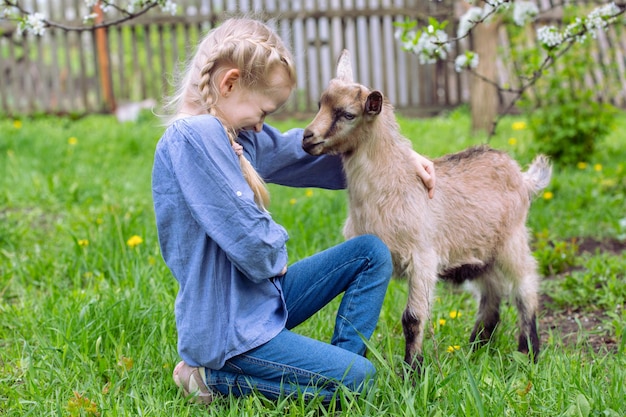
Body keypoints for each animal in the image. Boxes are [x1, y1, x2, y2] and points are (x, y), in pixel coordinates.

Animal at [302, 49, 552, 368]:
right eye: (320, 104)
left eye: (347, 114)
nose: (307, 138)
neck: (392, 187)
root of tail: (522, 176)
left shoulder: (422, 256)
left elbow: (412, 318)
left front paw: (412, 371)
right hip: (480, 254)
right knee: (491, 295)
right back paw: (475, 349)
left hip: (512, 240)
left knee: (525, 288)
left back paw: (528, 352)